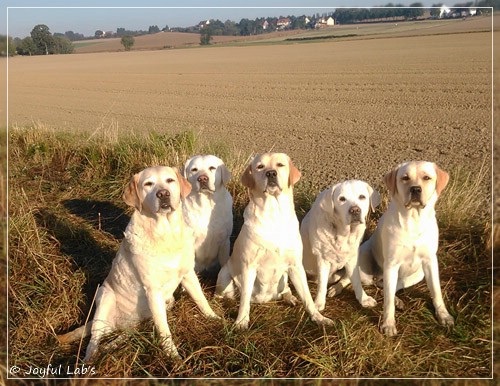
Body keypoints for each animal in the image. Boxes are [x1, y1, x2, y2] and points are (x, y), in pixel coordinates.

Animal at [57, 167, 220, 362]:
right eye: (148, 184)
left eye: (170, 180)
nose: (163, 194)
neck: (166, 234)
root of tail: (117, 324)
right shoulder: (153, 290)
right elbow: (164, 330)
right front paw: (173, 356)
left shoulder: (188, 274)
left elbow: (201, 299)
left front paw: (214, 318)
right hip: (105, 297)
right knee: (93, 341)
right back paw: (91, 360)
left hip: (164, 304)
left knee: (125, 334)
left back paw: (109, 346)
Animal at [215, 153, 332, 328]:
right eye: (260, 167)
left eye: (280, 164)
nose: (271, 173)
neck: (273, 214)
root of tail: (265, 299)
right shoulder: (249, 266)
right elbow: (244, 298)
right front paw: (241, 321)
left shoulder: (296, 265)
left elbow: (307, 298)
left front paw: (318, 317)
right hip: (224, 276)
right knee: (226, 294)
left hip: (285, 277)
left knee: (286, 290)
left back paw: (290, 298)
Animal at [300, 179, 378, 312]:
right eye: (342, 199)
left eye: (362, 197)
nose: (355, 210)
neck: (343, 233)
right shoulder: (323, 259)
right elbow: (322, 284)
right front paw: (318, 304)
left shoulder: (352, 258)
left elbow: (356, 280)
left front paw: (364, 299)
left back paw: (336, 288)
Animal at [356, 161, 454, 336]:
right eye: (405, 178)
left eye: (426, 177)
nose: (415, 189)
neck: (414, 220)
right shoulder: (391, 264)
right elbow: (387, 301)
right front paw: (388, 324)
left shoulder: (430, 261)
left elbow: (436, 291)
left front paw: (444, 315)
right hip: (366, 266)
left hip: (417, 275)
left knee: (387, 286)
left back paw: (397, 300)